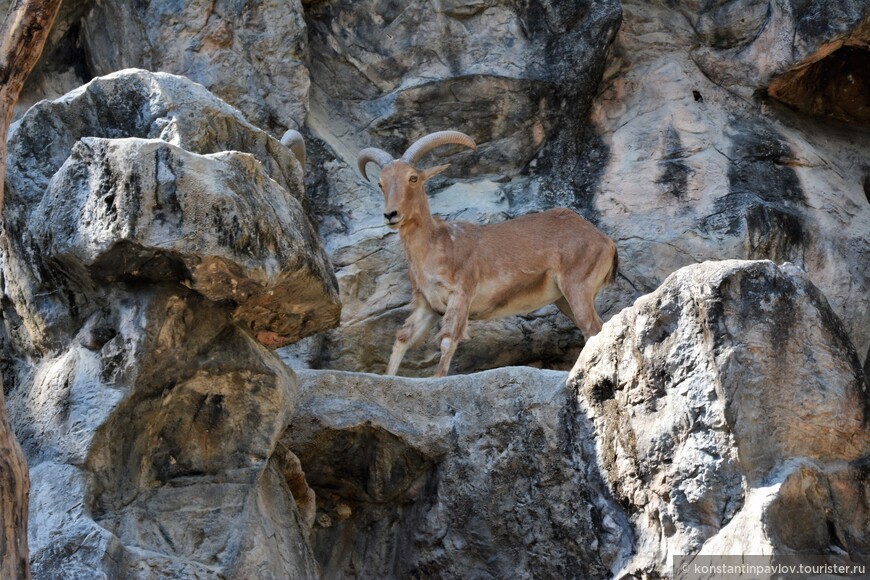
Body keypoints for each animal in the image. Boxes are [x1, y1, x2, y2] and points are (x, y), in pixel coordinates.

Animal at [356, 131, 620, 376]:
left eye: (412, 178)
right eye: (381, 183)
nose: (391, 215)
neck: (436, 246)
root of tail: (605, 240)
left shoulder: (461, 293)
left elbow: (448, 338)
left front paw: (436, 379)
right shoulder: (427, 305)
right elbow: (403, 337)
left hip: (577, 286)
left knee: (591, 328)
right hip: (563, 299)